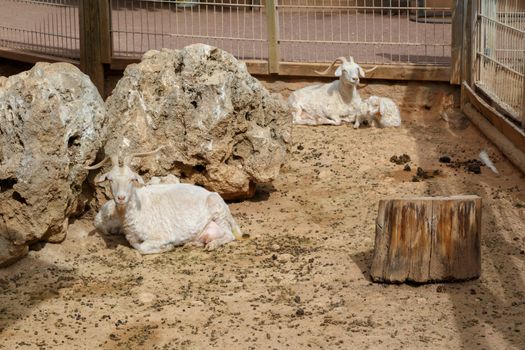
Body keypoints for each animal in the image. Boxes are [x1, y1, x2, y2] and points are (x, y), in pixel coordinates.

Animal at [86, 148, 242, 254]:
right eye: (110, 179)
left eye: (132, 179)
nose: (121, 198)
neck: (137, 210)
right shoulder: (132, 237)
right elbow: (138, 246)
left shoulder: (160, 235)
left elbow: (142, 248)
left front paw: (167, 247)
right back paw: (192, 244)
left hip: (218, 212)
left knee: (229, 235)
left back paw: (212, 245)